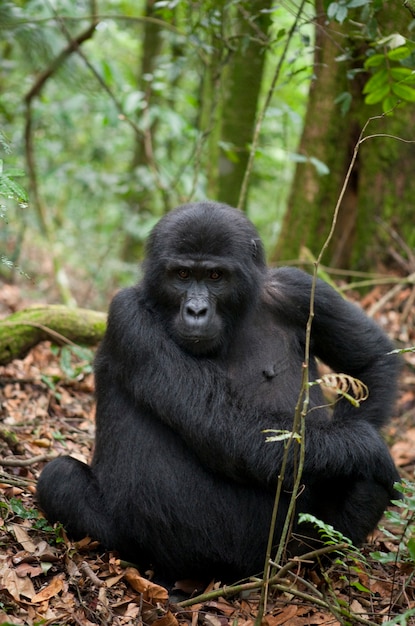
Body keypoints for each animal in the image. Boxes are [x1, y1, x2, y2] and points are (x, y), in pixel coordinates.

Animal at [37, 200, 402, 580]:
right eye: (182, 275)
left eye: (215, 277)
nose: (196, 310)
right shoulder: (130, 318)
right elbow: (224, 426)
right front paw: (365, 445)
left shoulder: (300, 288)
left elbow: (372, 361)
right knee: (60, 478)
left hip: (285, 548)